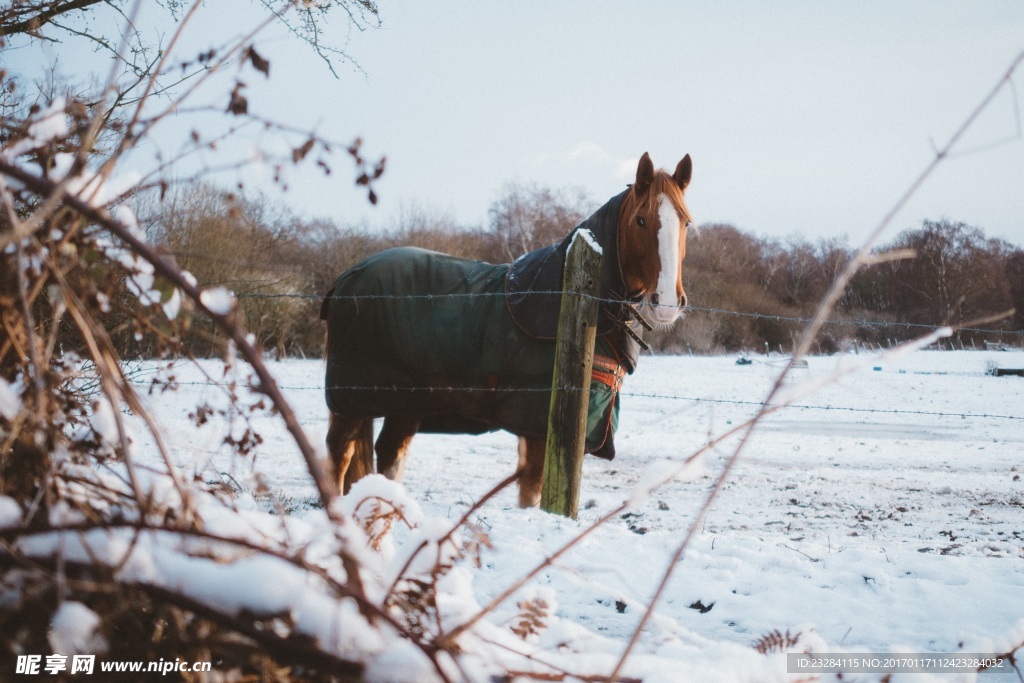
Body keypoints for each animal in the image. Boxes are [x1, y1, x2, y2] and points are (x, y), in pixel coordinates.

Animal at [323, 154, 692, 507]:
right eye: (641, 220)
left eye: (686, 222)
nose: (667, 303)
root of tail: (347, 277)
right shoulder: (538, 427)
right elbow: (532, 495)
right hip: (351, 401)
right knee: (339, 454)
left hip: (404, 404)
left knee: (389, 455)